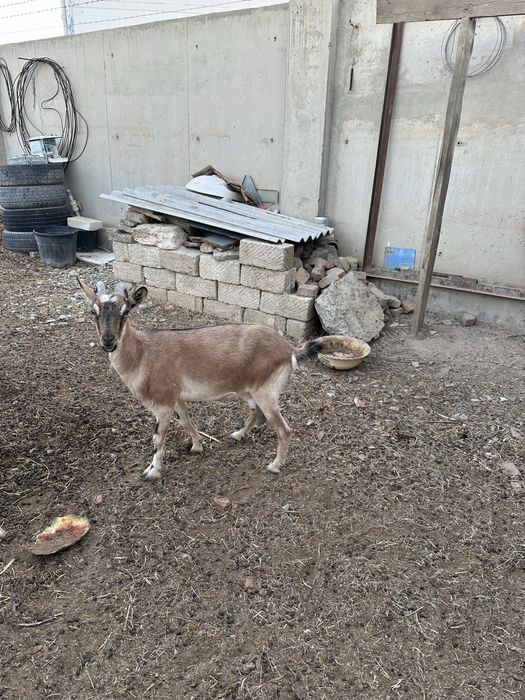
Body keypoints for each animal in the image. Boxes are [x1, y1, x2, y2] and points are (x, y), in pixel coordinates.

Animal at [79, 279, 329, 480]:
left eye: (126, 311)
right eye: (93, 312)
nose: (108, 341)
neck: (142, 354)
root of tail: (289, 349)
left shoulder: (164, 403)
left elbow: (157, 438)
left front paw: (152, 472)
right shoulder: (177, 398)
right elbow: (187, 422)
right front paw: (197, 446)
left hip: (266, 392)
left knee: (283, 429)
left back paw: (275, 465)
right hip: (249, 390)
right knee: (256, 414)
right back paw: (238, 434)